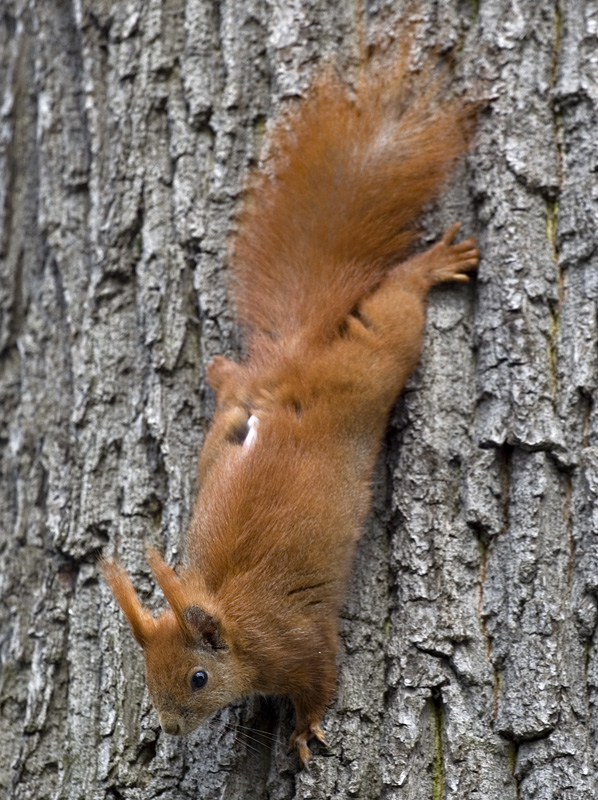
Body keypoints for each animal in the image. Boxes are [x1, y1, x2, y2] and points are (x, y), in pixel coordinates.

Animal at [102, 51, 478, 768]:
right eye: (147, 676)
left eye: (198, 677)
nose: (170, 728)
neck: (238, 624)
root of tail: (296, 366)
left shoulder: (300, 643)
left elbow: (321, 681)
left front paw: (304, 732)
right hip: (229, 428)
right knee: (237, 381)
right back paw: (222, 371)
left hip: (372, 366)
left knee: (397, 309)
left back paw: (431, 266)